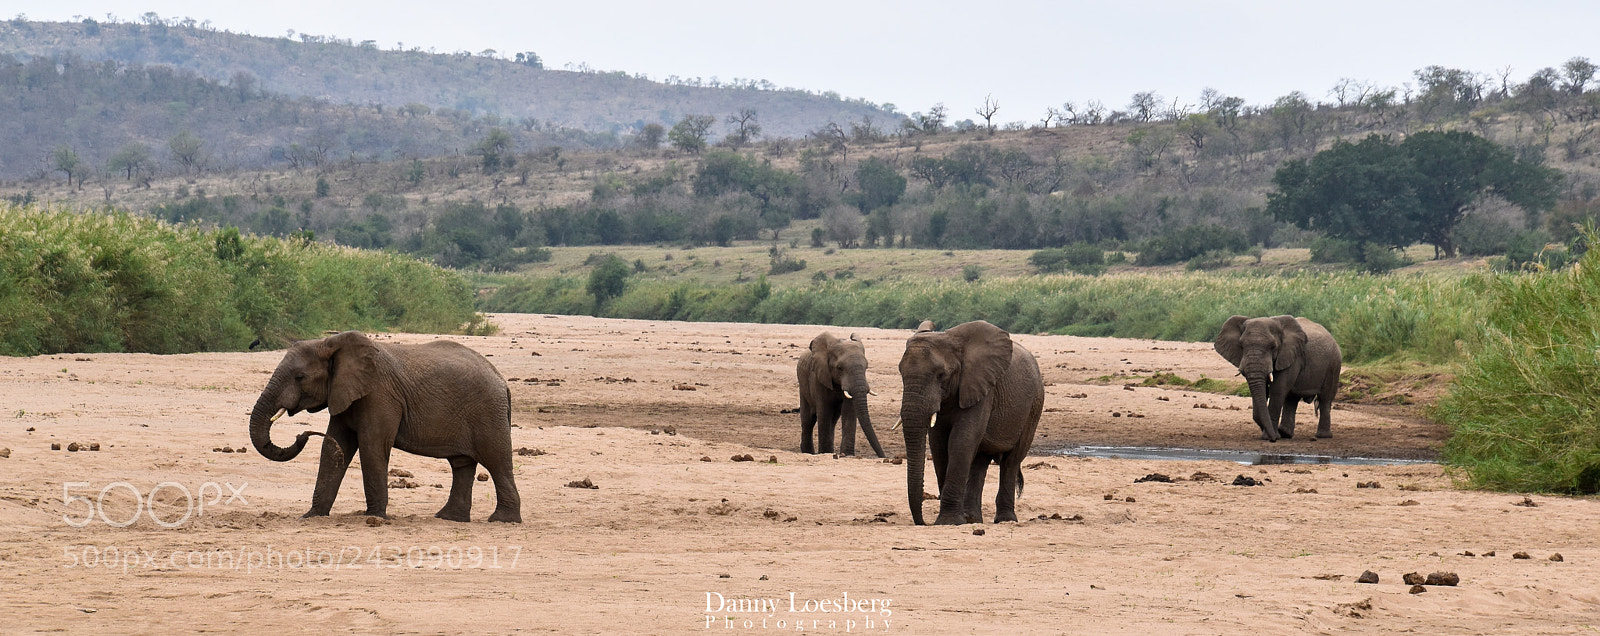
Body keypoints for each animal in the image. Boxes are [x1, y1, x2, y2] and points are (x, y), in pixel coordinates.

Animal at [249, 331, 522, 523]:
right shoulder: (346, 393)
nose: (302, 434)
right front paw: (311, 516)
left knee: (497, 461)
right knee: (462, 464)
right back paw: (449, 518)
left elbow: (372, 446)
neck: (331, 343)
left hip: (488, 413)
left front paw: (375, 517)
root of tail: (502, 382)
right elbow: (334, 447)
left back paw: (502, 520)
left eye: (300, 377)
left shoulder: (379, 395)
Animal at [897, 320, 1044, 525]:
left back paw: (1005, 520)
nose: (924, 522)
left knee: (1011, 461)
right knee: (980, 461)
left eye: (941, 375)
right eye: (900, 372)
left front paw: (949, 522)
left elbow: (961, 440)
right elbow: (939, 444)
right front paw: (955, 520)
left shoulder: (983, 388)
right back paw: (973, 519)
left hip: (1034, 406)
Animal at [1213, 315, 1342, 442]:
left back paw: (1322, 436)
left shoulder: (1291, 356)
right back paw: (1285, 433)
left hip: (1334, 364)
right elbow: (1263, 391)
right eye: (1241, 346)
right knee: (1292, 398)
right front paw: (1271, 434)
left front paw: (1268, 436)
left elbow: (1277, 390)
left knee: (1325, 398)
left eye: (1272, 346)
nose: (1273, 439)